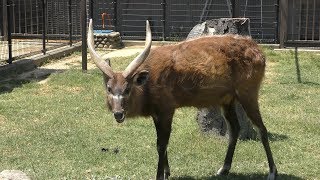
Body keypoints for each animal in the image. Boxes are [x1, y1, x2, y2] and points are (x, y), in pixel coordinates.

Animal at [87, 19, 278, 179]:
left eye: (127, 89)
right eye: (109, 88)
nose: (118, 113)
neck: (149, 82)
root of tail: (260, 53)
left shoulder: (167, 108)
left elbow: (161, 144)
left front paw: (160, 175)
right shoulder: (157, 113)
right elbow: (159, 141)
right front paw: (167, 172)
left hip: (248, 92)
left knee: (261, 128)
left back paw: (272, 172)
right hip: (227, 100)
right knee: (235, 128)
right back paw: (223, 169)